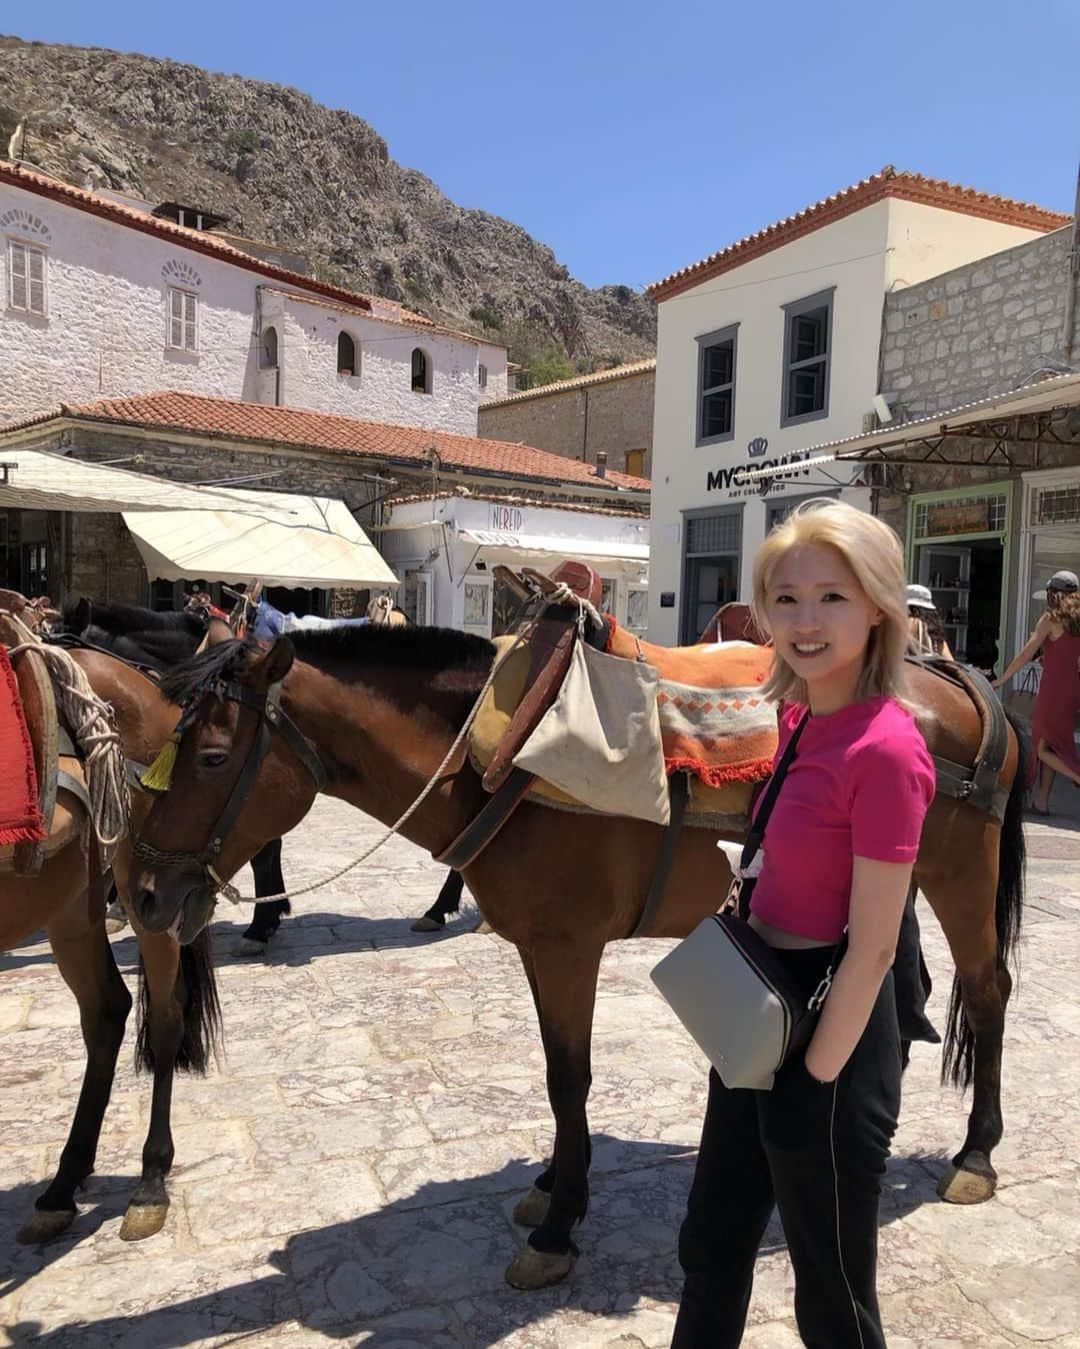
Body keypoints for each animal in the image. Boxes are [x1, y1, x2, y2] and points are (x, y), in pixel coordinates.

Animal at [130, 625, 1024, 1289]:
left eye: (212, 757)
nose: (140, 894)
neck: (501, 758)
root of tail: (957, 677)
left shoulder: (570, 948)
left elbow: (570, 1079)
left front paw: (559, 1226)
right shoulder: (540, 947)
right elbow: (558, 1074)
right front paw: (557, 1185)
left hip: (956, 876)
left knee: (986, 989)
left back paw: (977, 1152)